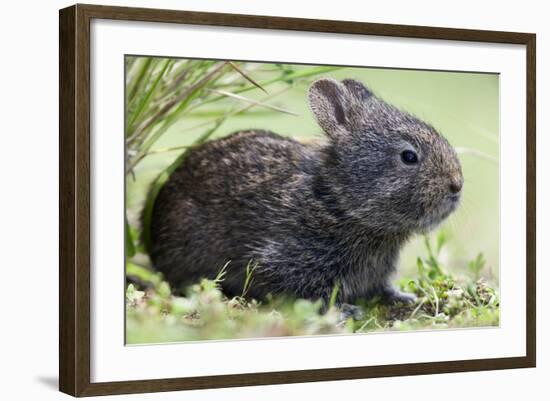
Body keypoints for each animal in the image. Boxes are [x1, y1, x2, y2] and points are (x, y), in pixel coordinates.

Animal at [149, 77, 464, 316]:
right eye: (409, 156)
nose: (457, 185)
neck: (338, 201)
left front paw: (403, 297)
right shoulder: (288, 260)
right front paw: (345, 311)